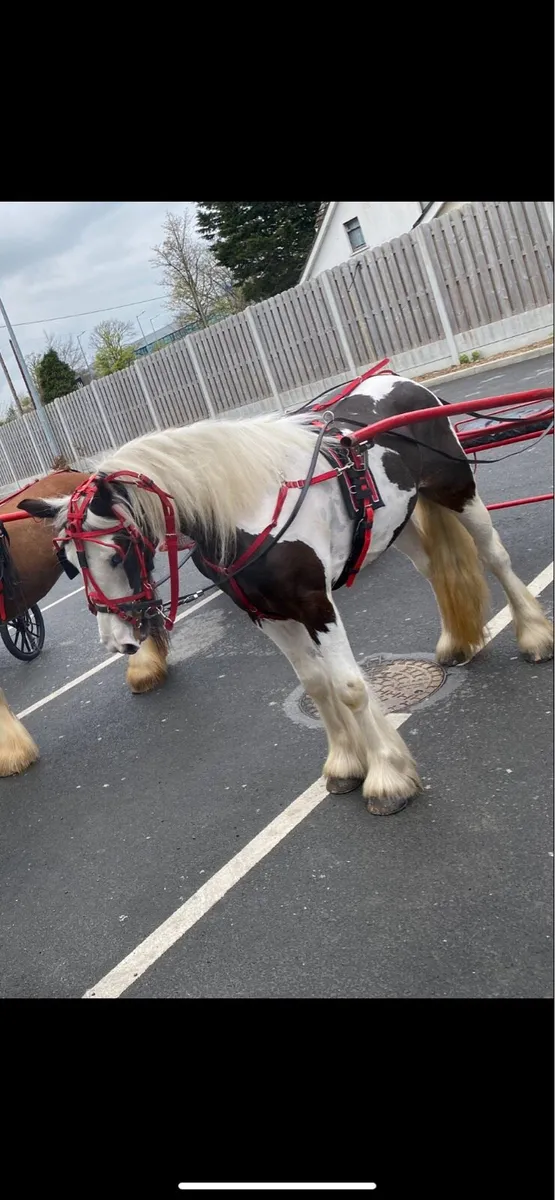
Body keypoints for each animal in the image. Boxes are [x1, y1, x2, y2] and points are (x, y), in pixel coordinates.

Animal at [20, 373, 554, 815]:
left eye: (118, 552)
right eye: (70, 564)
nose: (118, 642)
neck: (248, 508)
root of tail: (406, 382)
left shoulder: (317, 605)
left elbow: (350, 687)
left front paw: (386, 776)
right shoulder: (268, 614)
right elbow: (316, 685)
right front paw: (345, 763)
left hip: (457, 490)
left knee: (495, 558)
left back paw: (533, 635)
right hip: (398, 524)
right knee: (433, 570)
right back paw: (456, 640)